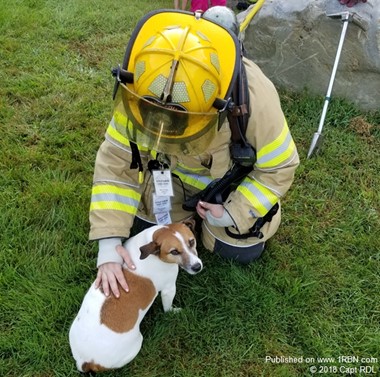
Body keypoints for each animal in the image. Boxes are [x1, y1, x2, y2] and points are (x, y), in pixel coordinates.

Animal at [68, 219, 202, 372]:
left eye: (191, 241)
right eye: (174, 251)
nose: (197, 267)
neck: (150, 245)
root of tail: (85, 361)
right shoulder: (169, 288)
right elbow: (167, 307)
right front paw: (173, 311)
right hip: (136, 344)